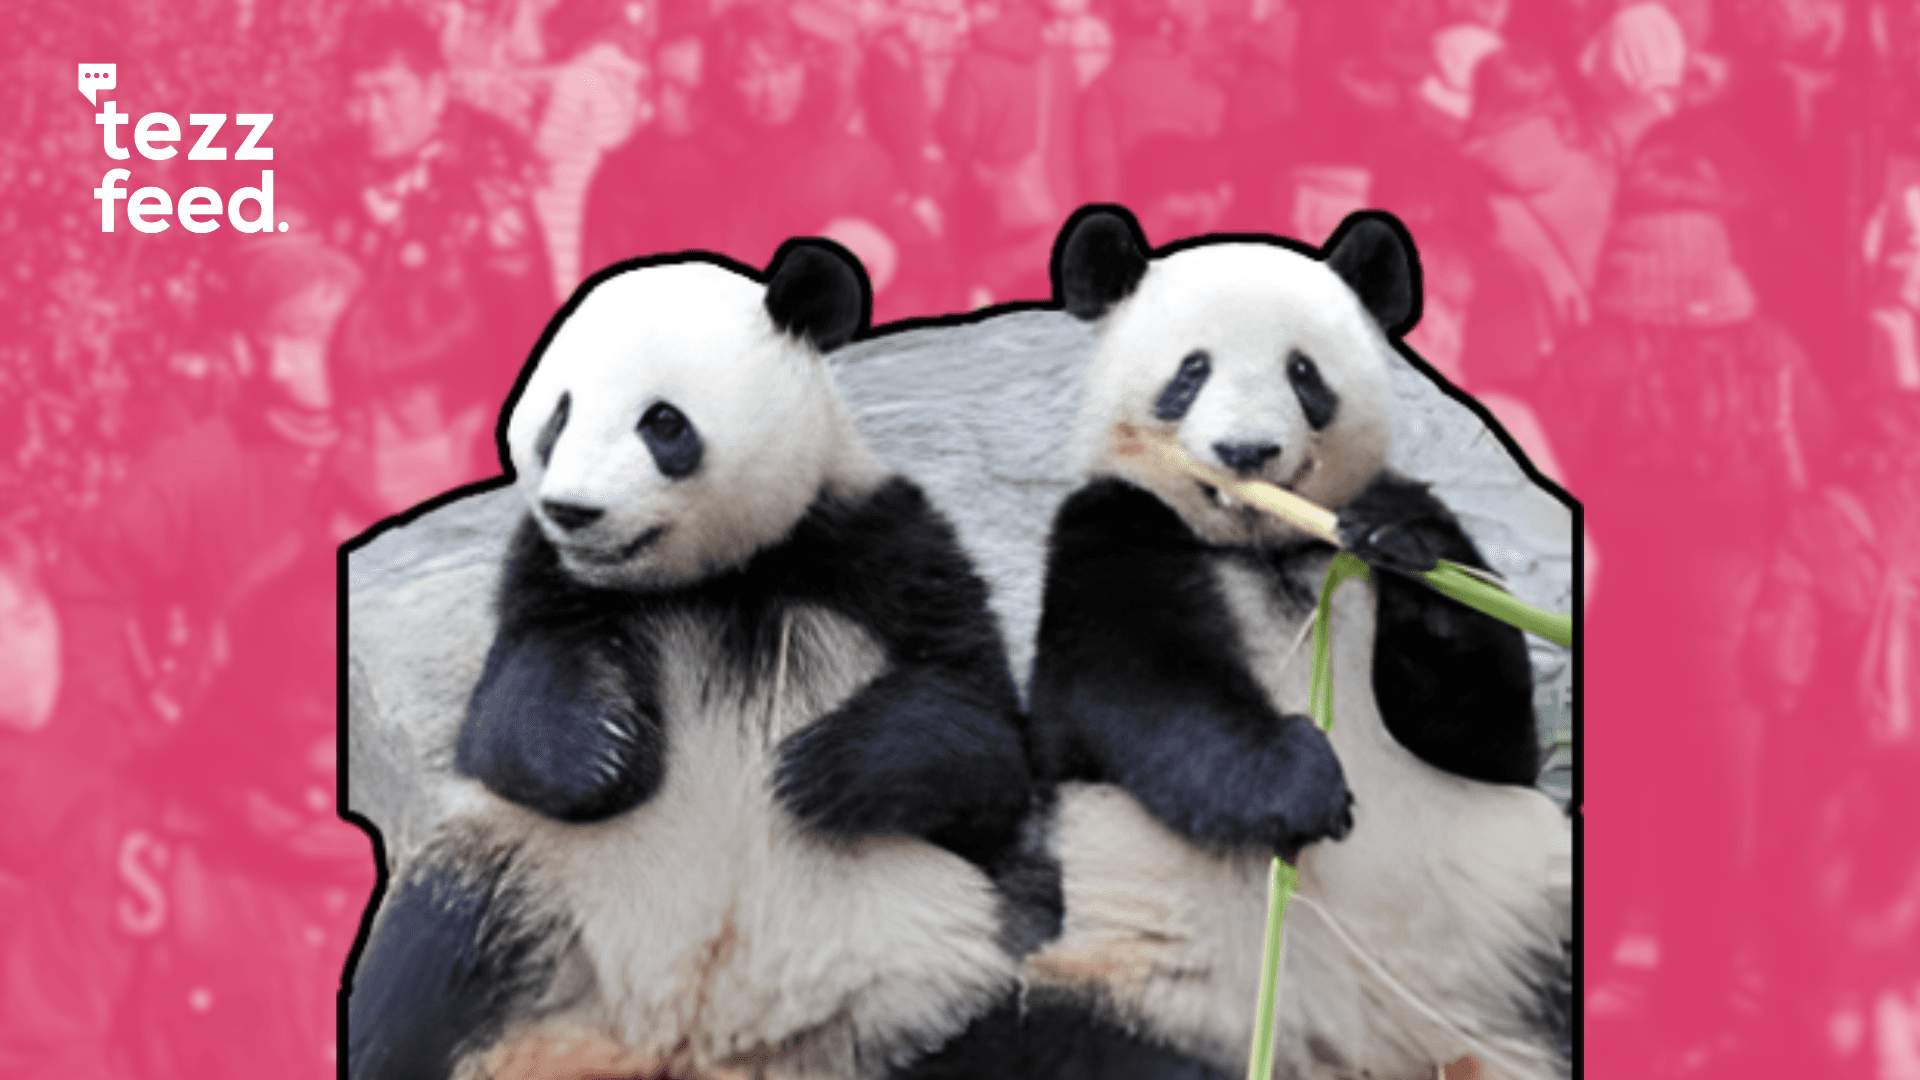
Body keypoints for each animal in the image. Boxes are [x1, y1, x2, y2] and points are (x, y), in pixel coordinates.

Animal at [345, 241, 1054, 1080]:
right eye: (559, 415)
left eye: (662, 422)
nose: (573, 511)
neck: (716, 579)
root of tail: (680, 1045)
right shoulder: (545, 576)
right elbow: (504, 723)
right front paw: (603, 752)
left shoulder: (879, 543)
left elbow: (985, 740)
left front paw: (821, 767)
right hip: (539, 884)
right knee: (427, 958)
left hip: (936, 955)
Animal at [1016, 208, 1573, 1080]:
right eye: (1191, 372)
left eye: (1303, 372)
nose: (1246, 453)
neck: (1267, 549)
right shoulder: (1112, 537)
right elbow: (1143, 698)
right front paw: (1301, 785)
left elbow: (1490, 734)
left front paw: (1404, 547)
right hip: (1145, 975)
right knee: (1075, 1041)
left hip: (1530, 919)